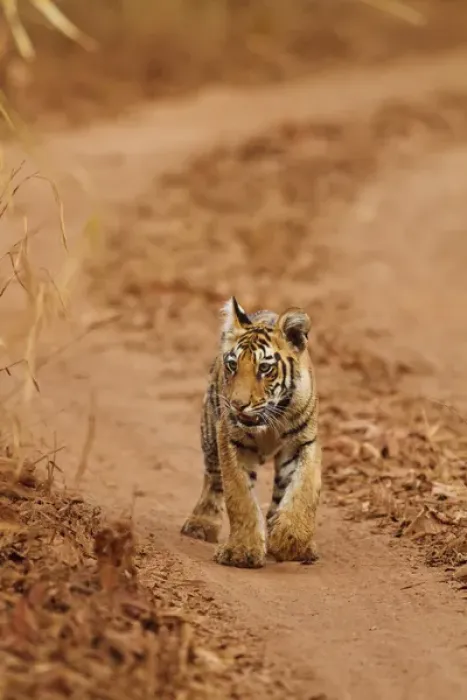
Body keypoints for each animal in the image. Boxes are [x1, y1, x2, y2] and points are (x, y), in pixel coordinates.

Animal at [181, 297, 321, 569]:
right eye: (232, 365)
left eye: (265, 368)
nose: (237, 404)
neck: (270, 421)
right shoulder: (230, 439)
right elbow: (239, 496)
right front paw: (242, 552)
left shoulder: (303, 442)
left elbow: (304, 489)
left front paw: (290, 540)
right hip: (209, 432)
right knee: (213, 479)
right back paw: (201, 524)